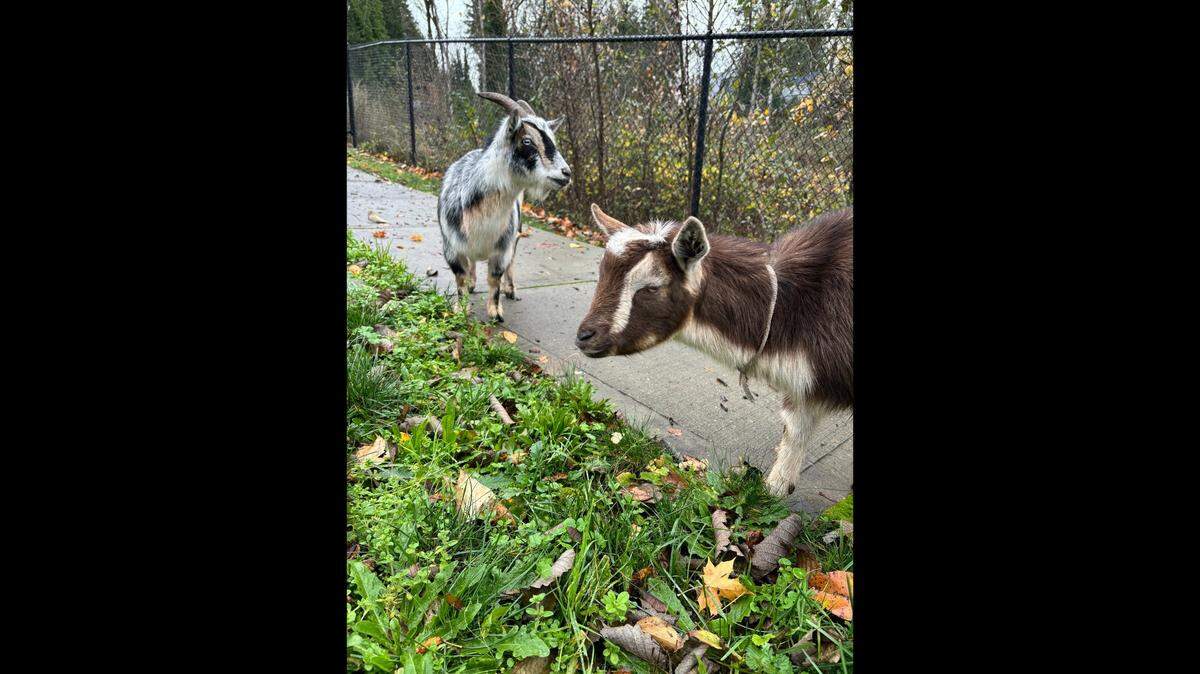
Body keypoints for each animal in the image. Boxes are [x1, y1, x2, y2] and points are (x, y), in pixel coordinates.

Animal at [437, 92, 572, 321]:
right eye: (527, 140)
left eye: (552, 140)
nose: (566, 173)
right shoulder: (451, 247)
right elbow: (460, 277)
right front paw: (461, 309)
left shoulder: (502, 249)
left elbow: (495, 278)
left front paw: (495, 312)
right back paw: (473, 283)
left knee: (511, 263)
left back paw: (511, 290)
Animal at [574, 204, 853, 497]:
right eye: (603, 274)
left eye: (651, 287)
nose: (585, 337)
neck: (794, 307)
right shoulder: (805, 386)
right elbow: (795, 429)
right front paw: (774, 491)